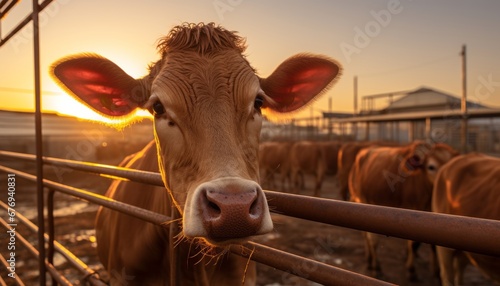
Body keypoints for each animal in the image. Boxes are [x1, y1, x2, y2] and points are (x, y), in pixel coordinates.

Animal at [350, 142, 458, 280]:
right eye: (431, 167)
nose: (444, 182)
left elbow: (431, 245)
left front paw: (436, 272)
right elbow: (413, 244)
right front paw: (411, 270)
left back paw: (369, 260)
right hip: (363, 200)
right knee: (371, 239)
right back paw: (376, 266)